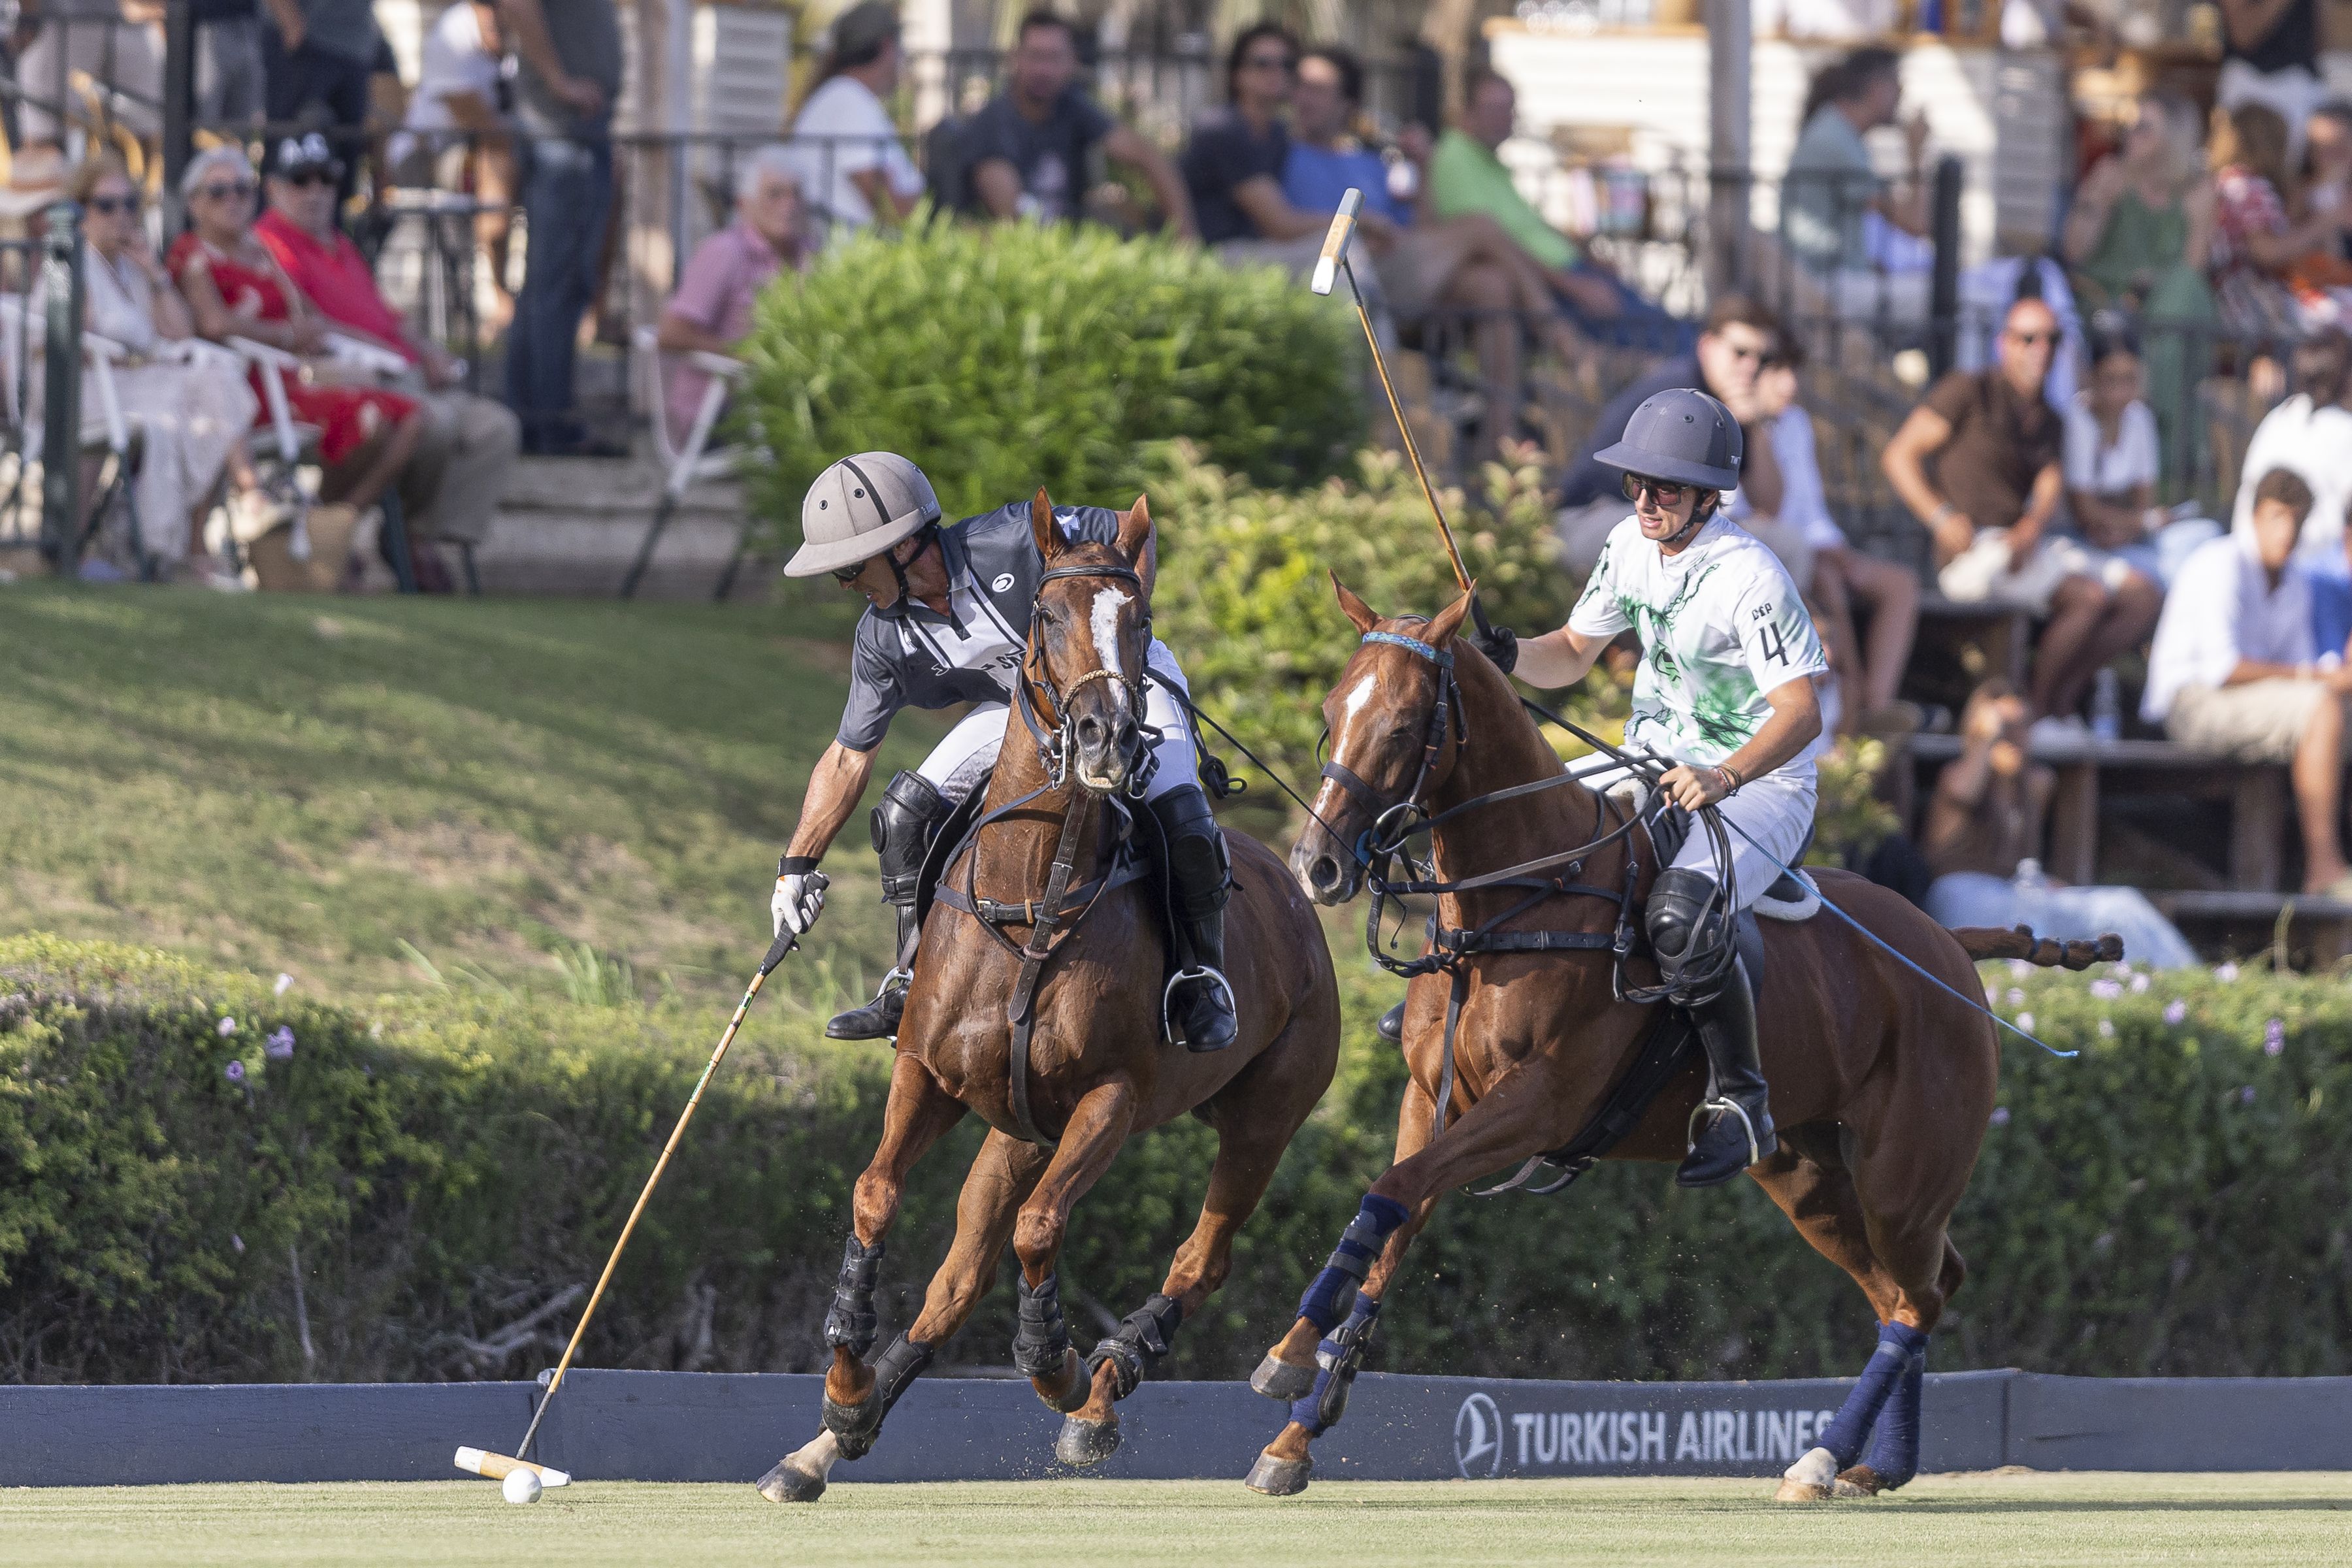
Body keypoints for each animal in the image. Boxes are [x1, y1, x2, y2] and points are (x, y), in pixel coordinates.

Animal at [757, 496, 1345, 1504]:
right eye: (1045, 614)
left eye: (1138, 617)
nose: (1109, 740)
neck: (1032, 895)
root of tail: (1296, 892)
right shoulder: (928, 1075)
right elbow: (875, 1196)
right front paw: (841, 1391)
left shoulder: (1112, 1100)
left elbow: (1041, 1233)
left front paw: (1059, 1367)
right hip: (1015, 1132)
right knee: (956, 1281)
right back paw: (828, 1443)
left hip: (1266, 1115)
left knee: (1203, 1255)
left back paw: (1105, 1393)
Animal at [1260, 583, 2126, 1504]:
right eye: (1330, 711)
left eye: (1398, 726)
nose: (1316, 865)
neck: (1526, 896)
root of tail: (1950, 945)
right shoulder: (1431, 1099)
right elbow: (1389, 1214)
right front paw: (1297, 1424)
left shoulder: (1538, 1104)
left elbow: (1393, 1192)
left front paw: (1287, 1365)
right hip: (1806, 1173)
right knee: (1906, 1290)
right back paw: (1877, 1465)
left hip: (1906, 1173)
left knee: (1919, 1297)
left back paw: (1823, 1460)